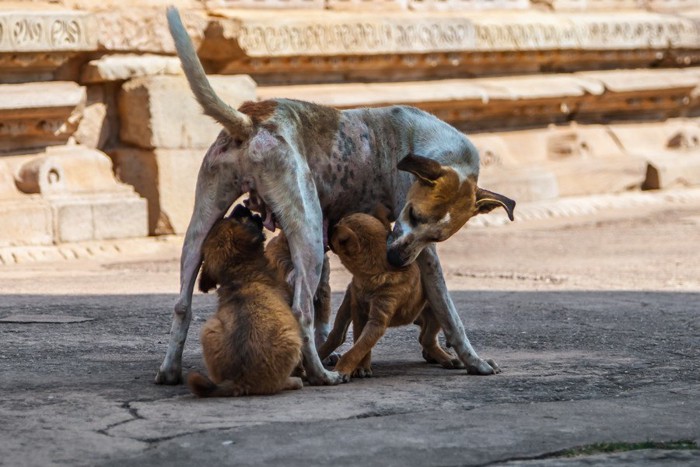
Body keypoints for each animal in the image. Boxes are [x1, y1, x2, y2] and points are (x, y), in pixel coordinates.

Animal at [187, 207, 302, 396]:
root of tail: (240, 380)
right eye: (237, 219)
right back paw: (293, 381)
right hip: (292, 339)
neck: (240, 274)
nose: (241, 206)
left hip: (208, 329)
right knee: (275, 385)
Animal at [316, 212, 460, 380]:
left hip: (437, 310)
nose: (327, 224)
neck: (374, 271)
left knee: (427, 339)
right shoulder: (360, 312)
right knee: (337, 335)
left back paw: (445, 358)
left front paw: (344, 369)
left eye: (336, 228)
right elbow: (360, 342)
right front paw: (361, 366)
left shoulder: (378, 319)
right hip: (347, 304)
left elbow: (358, 348)